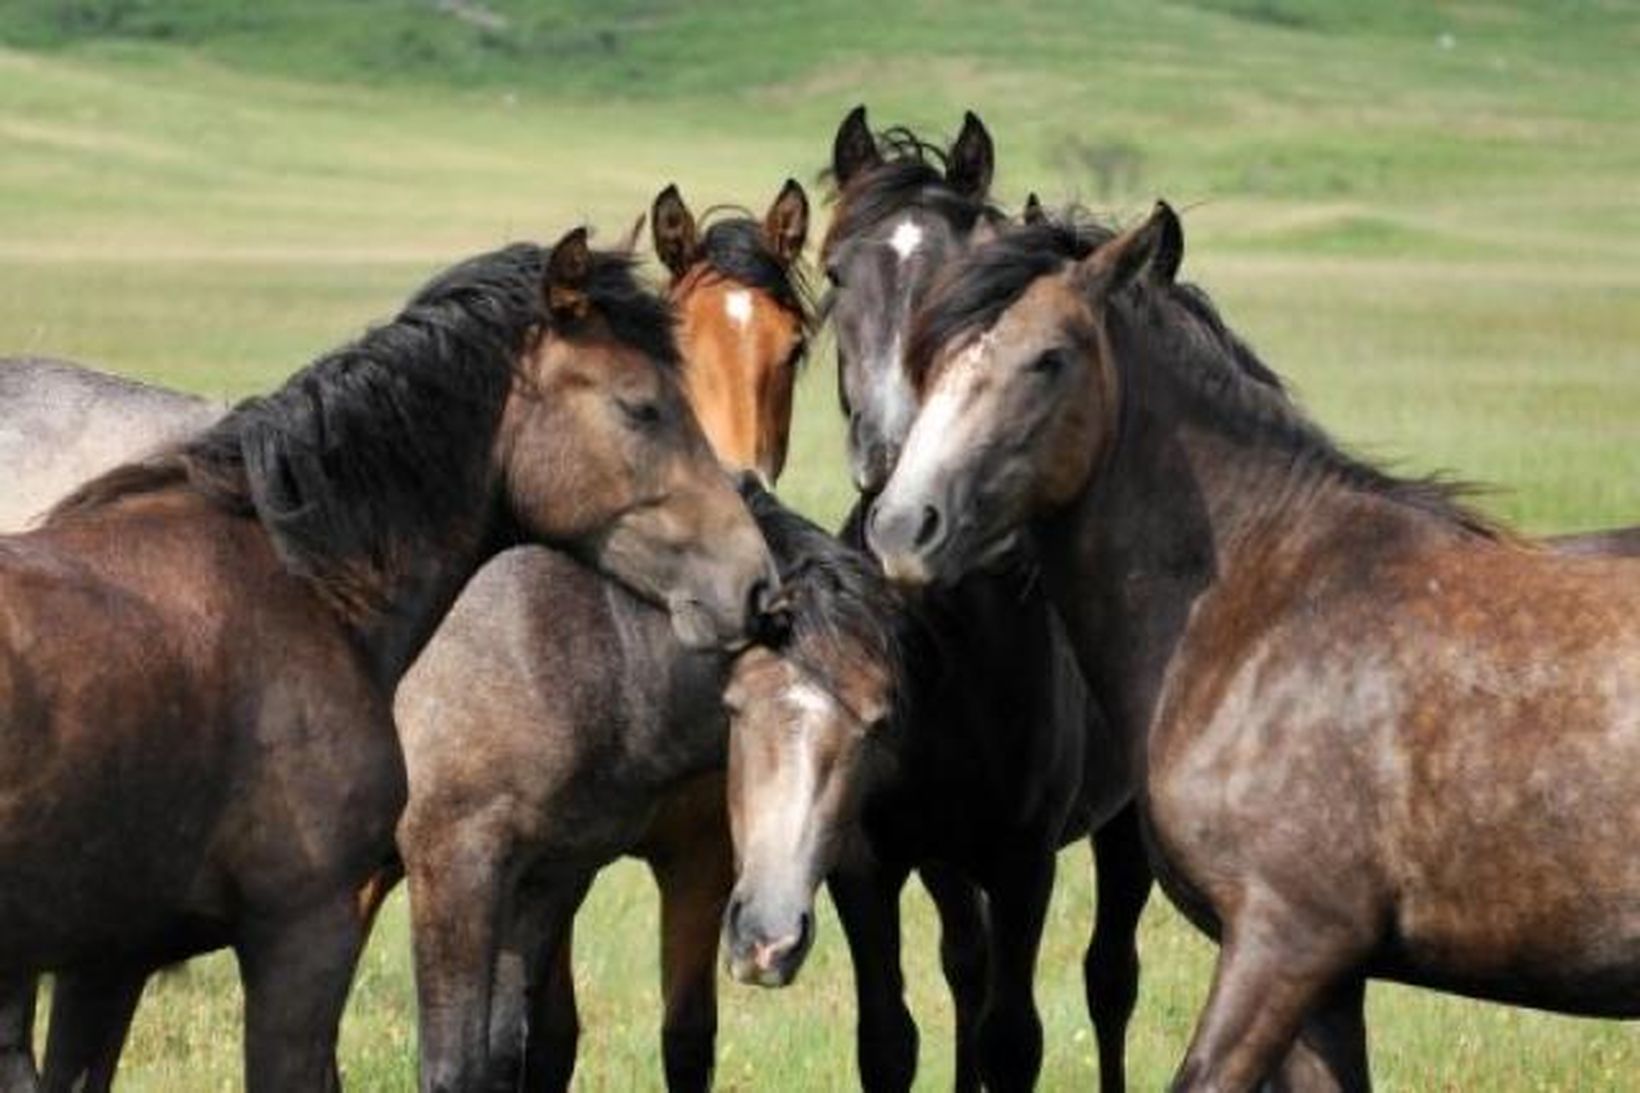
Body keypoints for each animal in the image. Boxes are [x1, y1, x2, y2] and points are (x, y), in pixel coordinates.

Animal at [879, 200, 1640, 1083]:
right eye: (928, 358)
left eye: (1049, 358)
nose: (902, 527)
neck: (1261, 604)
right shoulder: (1329, 985)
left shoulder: (1286, 942)